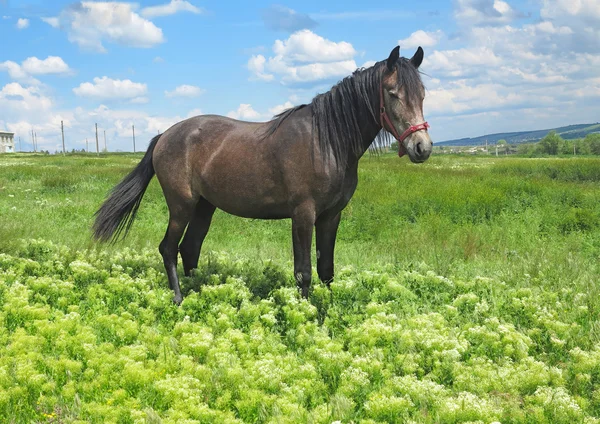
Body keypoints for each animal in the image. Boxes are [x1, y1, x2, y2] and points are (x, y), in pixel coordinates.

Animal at [92, 46, 432, 304]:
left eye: (423, 95)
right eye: (392, 93)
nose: (422, 147)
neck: (325, 141)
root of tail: (164, 135)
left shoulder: (331, 216)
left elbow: (326, 269)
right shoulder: (303, 214)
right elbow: (304, 271)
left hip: (204, 206)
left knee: (189, 249)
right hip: (181, 206)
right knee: (168, 248)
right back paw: (178, 298)